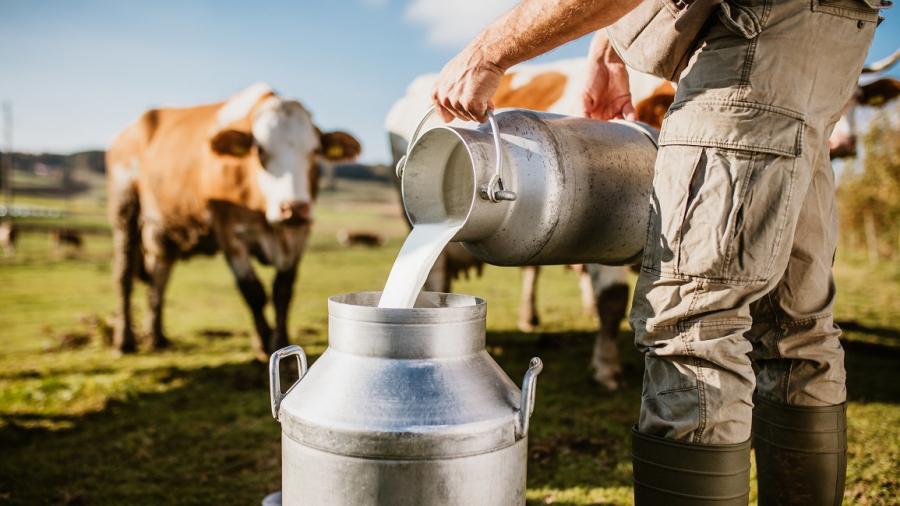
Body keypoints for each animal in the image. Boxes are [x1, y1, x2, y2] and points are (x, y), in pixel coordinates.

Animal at [106, 83, 358, 358]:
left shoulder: (298, 235)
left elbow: (282, 291)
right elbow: (253, 291)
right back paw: (124, 341)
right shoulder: (229, 233)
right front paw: (264, 345)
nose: (293, 208)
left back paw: (157, 336)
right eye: (259, 150)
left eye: (314, 151)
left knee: (159, 278)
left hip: (163, 231)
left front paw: (281, 341)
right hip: (125, 207)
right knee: (124, 275)